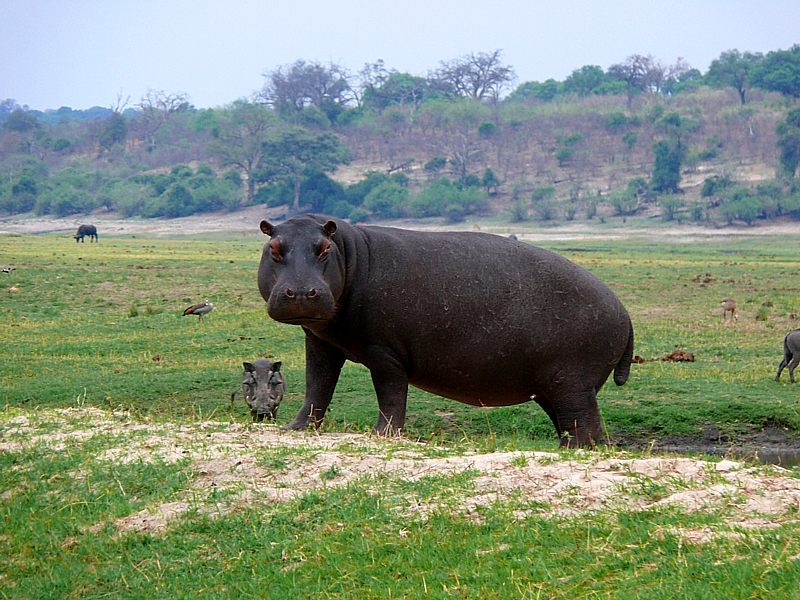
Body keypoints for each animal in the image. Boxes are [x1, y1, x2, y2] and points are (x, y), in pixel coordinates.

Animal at [260, 214, 636, 446]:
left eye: (325, 248)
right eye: (273, 248)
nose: (301, 292)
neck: (350, 254)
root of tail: (625, 311)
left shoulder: (385, 351)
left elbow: (390, 394)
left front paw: (382, 435)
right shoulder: (320, 342)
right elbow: (317, 387)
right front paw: (295, 428)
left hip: (572, 383)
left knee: (585, 425)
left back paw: (573, 449)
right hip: (551, 388)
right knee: (573, 425)